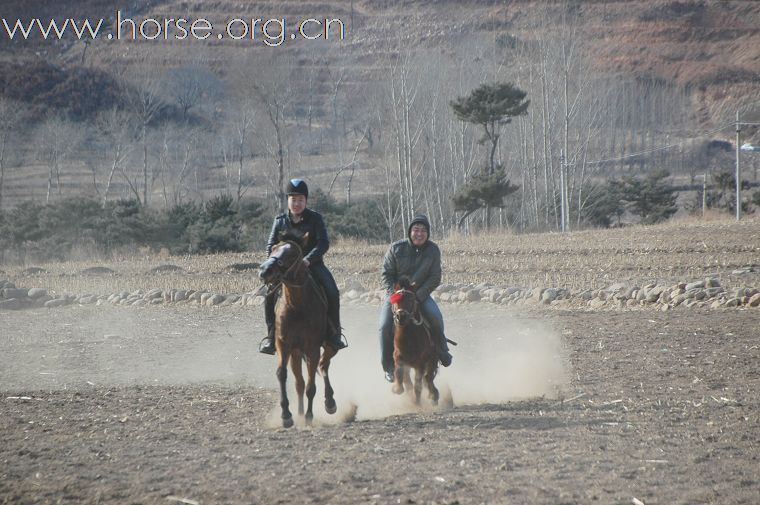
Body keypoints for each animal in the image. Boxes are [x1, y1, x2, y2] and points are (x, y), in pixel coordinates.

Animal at [258, 231, 336, 426]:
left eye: (292, 254)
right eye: (274, 248)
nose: (264, 271)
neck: (297, 305)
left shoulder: (313, 348)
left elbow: (311, 386)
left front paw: (309, 417)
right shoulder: (283, 345)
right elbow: (282, 374)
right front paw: (287, 415)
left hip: (328, 346)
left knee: (323, 366)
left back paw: (330, 403)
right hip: (295, 353)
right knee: (299, 383)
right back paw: (299, 413)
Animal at [392, 276, 440, 406]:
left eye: (411, 299)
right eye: (395, 300)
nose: (401, 316)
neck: (409, 340)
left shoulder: (421, 364)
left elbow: (418, 384)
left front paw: (416, 402)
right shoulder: (398, 358)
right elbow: (400, 374)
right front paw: (396, 388)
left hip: (432, 360)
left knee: (428, 377)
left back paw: (433, 396)